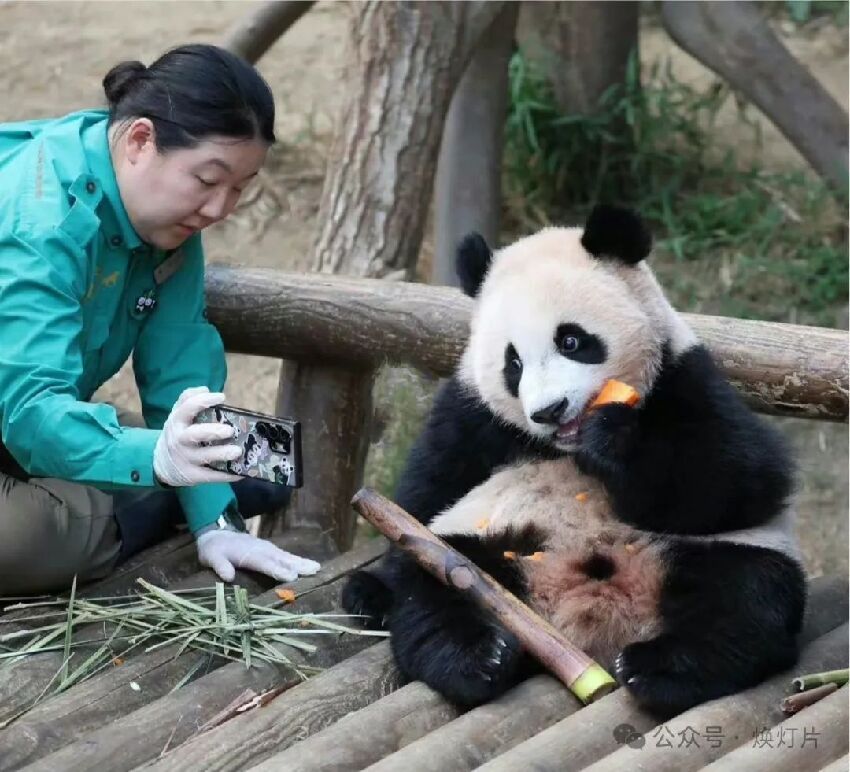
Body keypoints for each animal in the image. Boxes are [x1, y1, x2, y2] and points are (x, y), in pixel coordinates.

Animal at [342, 205, 804, 716]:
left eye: (571, 341)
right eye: (513, 364)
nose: (549, 410)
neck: (565, 446)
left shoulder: (685, 375)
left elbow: (741, 480)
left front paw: (614, 439)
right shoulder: (471, 415)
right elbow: (424, 491)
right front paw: (370, 589)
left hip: (707, 555)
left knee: (745, 599)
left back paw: (659, 668)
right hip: (480, 551)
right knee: (432, 589)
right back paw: (477, 658)